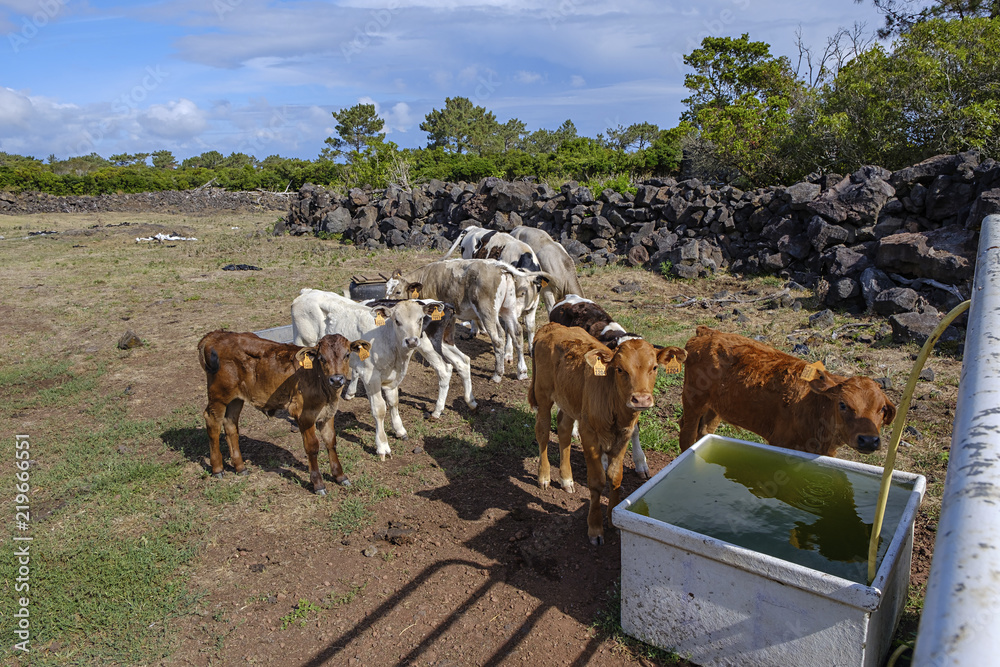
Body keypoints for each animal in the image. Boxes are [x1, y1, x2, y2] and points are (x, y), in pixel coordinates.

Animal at [195, 330, 372, 496]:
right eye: (321, 357)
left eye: (347, 354)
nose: (336, 379)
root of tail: (215, 334)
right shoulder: (304, 415)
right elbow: (312, 447)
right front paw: (318, 484)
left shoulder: (328, 413)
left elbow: (331, 442)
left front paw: (340, 476)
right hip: (219, 394)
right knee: (212, 422)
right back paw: (218, 468)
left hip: (236, 398)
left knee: (231, 424)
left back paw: (240, 467)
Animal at [292, 290, 444, 462]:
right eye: (397, 321)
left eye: (420, 319)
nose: (411, 341)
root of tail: (307, 292)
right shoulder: (371, 376)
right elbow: (379, 409)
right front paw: (382, 446)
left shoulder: (393, 378)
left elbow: (394, 402)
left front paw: (399, 430)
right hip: (302, 342)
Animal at [524, 320, 688, 544]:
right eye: (619, 369)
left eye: (654, 367)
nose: (641, 399)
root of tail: (551, 326)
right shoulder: (589, 434)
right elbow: (597, 481)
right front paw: (595, 528)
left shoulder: (624, 436)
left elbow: (615, 477)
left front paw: (613, 521)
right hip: (543, 395)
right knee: (542, 432)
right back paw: (544, 476)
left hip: (570, 400)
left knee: (564, 429)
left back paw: (566, 479)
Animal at [680, 326, 900, 456]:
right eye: (843, 404)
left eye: (882, 409)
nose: (869, 440)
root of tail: (709, 333)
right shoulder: (780, 443)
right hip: (693, 400)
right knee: (687, 434)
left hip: (716, 407)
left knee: (704, 431)